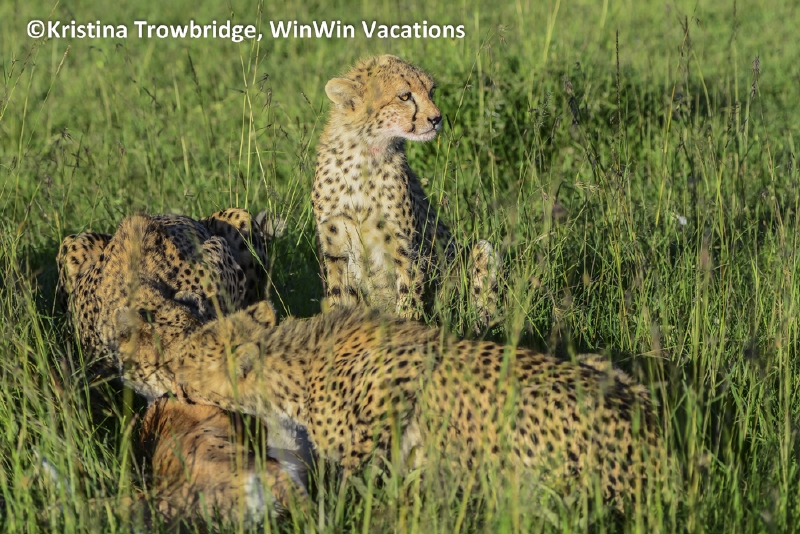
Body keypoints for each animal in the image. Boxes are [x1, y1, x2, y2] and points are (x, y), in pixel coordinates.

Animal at [313, 54, 500, 327]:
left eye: (431, 91)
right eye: (404, 96)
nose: (437, 118)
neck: (365, 154)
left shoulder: (406, 248)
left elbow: (408, 296)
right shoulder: (335, 249)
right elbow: (339, 299)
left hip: (480, 252)